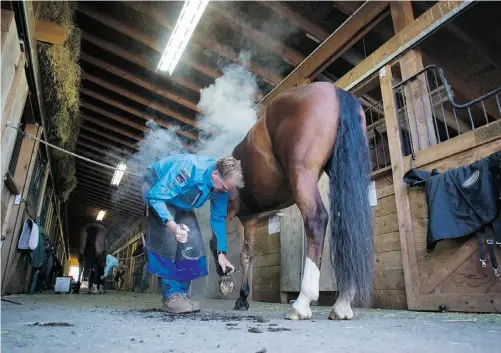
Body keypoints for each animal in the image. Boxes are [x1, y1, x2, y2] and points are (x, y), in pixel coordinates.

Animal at [210, 82, 372, 320]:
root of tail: (336, 91)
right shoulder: (250, 219)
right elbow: (246, 254)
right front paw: (242, 298)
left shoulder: (229, 209)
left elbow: (216, 241)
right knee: (351, 226)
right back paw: (342, 303)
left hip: (302, 175)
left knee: (316, 220)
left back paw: (302, 303)